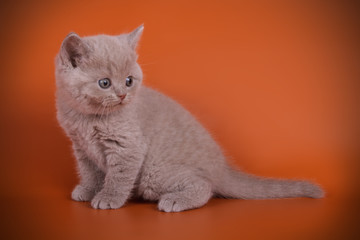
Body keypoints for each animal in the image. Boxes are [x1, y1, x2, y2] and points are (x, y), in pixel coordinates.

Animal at [54, 24, 324, 212]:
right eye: (105, 83)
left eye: (129, 81)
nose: (122, 95)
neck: (87, 119)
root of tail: (222, 169)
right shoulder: (81, 148)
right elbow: (90, 172)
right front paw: (88, 190)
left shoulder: (128, 147)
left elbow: (118, 177)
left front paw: (109, 198)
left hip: (155, 172)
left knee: (205, 187)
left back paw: (174, 200)